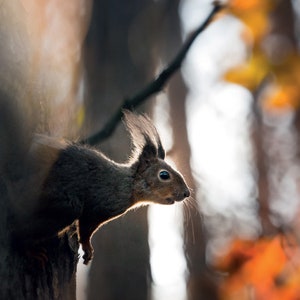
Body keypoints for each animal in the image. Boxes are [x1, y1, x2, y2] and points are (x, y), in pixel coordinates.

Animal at [12, 110, 190, 262]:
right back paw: (29, 249)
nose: (186, 193)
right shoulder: (96, 207)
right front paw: (88, 248)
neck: (127, 185)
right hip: (62, 206)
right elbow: (85, 231)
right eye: (164, 175)